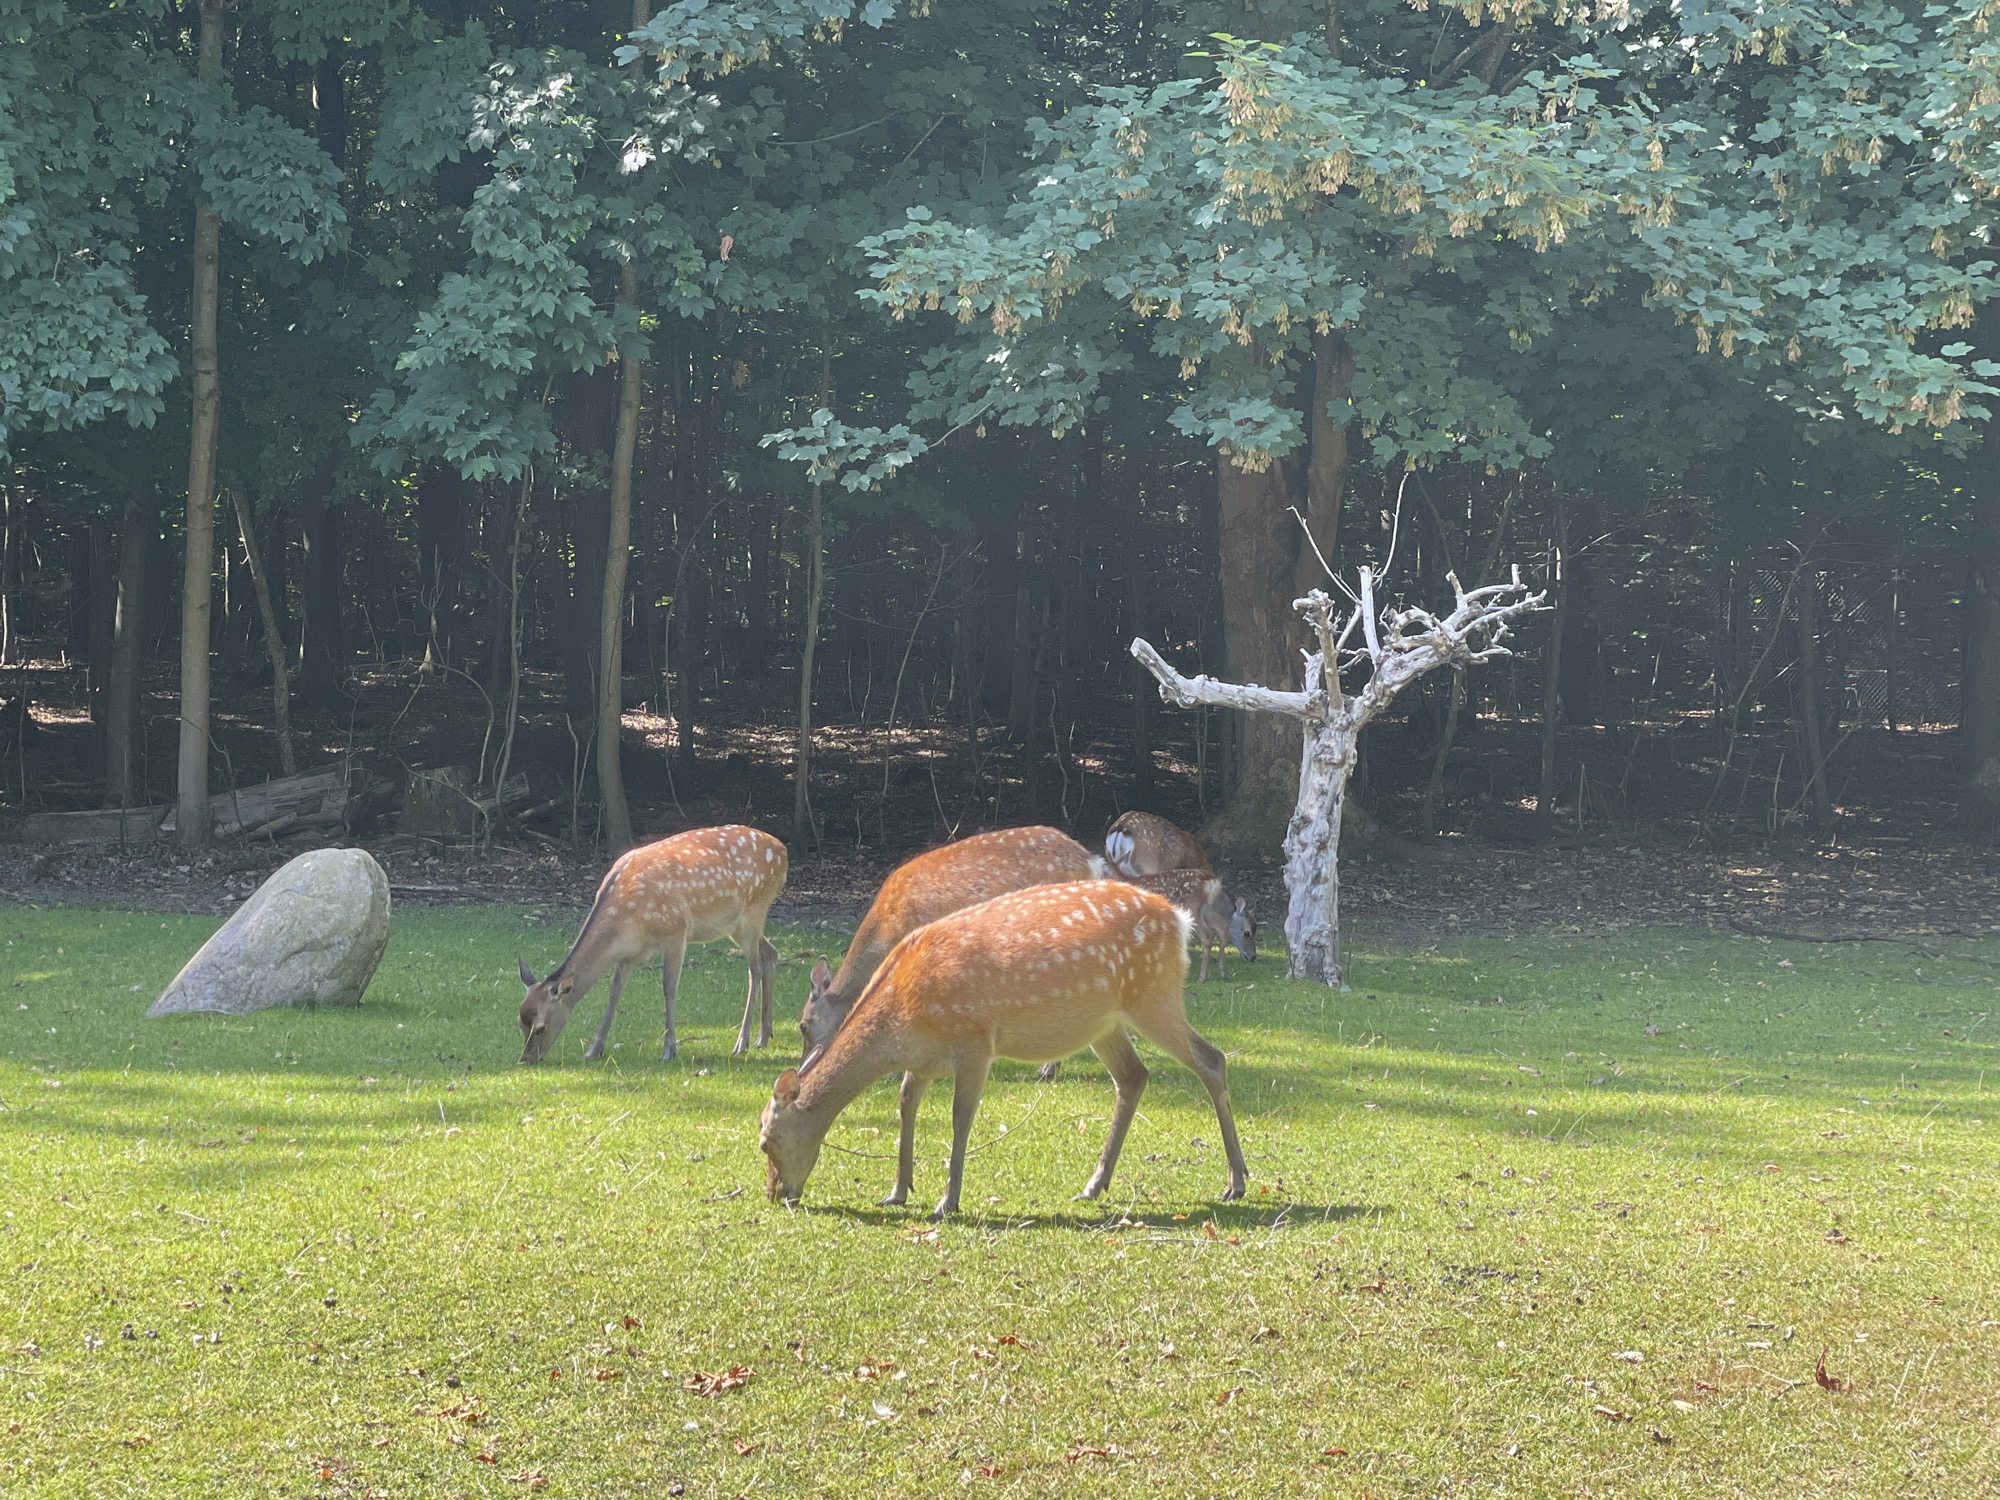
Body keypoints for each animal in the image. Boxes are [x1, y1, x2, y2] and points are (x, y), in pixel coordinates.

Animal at [518, 824, 786, 1065]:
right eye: (519, 1022)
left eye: (540, 1028)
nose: (527, 1059)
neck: (627, 922)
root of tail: (782, 850)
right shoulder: (627, 955)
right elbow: (614, 992)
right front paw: (594, 1049)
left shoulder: (676, 931)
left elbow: (669, 988)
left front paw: (669, 1050)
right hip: (734, 925)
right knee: (771, 954)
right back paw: (763, 1037)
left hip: (754, 909)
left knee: (755, 968)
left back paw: (742, 1043)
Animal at [760, 881, 1249, 1220]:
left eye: (766, 1142)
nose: (776, 1194)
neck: (902, 1020)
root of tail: (1180, 920)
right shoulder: (923, 1061)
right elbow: (905, 1105)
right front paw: (897, 1191)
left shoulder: (974, 1040)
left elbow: (960, 1117)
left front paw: (947, 1201)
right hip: (1105, 1023)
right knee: (1134, 1077)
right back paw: (1094, 1185)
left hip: (1153, 996)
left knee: (1211, 1059)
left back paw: (1236, 1182)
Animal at [1126, 870, 1257, 981]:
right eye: (1247, 933)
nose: (1253, 957)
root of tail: (1213, 882)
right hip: (1204, 909)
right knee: (1222, 927)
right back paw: (1221, 972)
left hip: (1192, 908)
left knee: (1208, 934)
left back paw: (1201, 977)